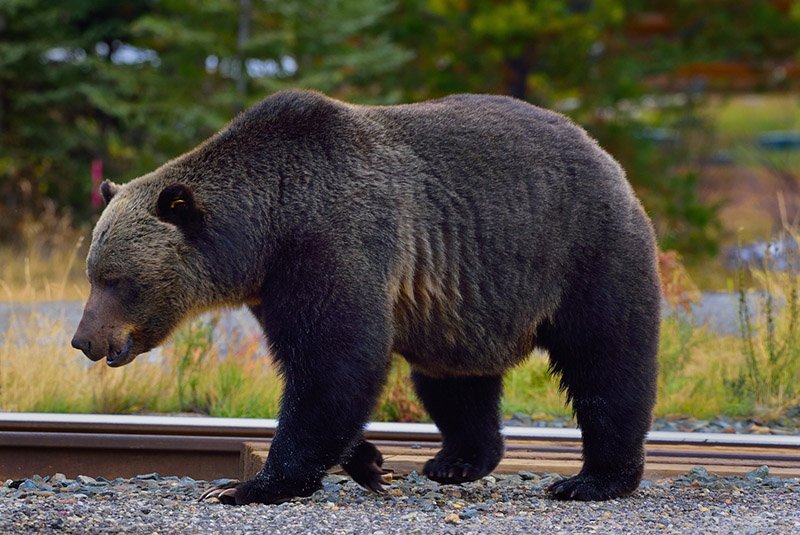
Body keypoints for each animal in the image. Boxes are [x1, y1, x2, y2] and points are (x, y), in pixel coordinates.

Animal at [71, 89, 660, 505]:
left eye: (117, 279)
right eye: (92, 273)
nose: (84, 340)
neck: (266, 233)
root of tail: (603, 153)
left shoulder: (331, 244)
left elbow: (335, 361)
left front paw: (245, 486)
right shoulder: (275, 286)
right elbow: (330, 370)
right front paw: (369, 461)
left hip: (584, 251)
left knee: (607, 359)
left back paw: (592, 479)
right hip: (462, 306)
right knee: (453, 380)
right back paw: (457, 460)